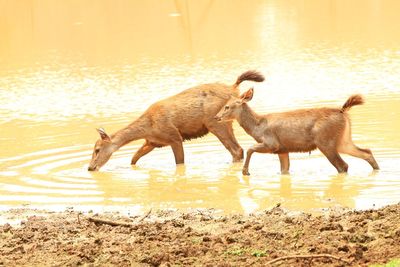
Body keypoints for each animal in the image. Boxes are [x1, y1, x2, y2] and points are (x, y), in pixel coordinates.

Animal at [88, 71, 266, 172]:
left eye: (97, 149)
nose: (90, 167)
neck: (148, 127)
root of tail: (233, 88)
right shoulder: (152, 142)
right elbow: (133, 158)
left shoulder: (174, 137)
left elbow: (179, 163)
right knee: (238, 149)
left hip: (216, 123)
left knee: (236, 150)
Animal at [214, 88, 380, 176]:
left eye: (227, 106)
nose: (216, 117)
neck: (257, 128)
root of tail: (343, 111)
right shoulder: (283, 149)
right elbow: (284, 170)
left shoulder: (272, 143)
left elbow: (249, 149)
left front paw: (245, 171)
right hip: (342, 141)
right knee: (366, 152)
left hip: (325, 142)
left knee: (343, 166)